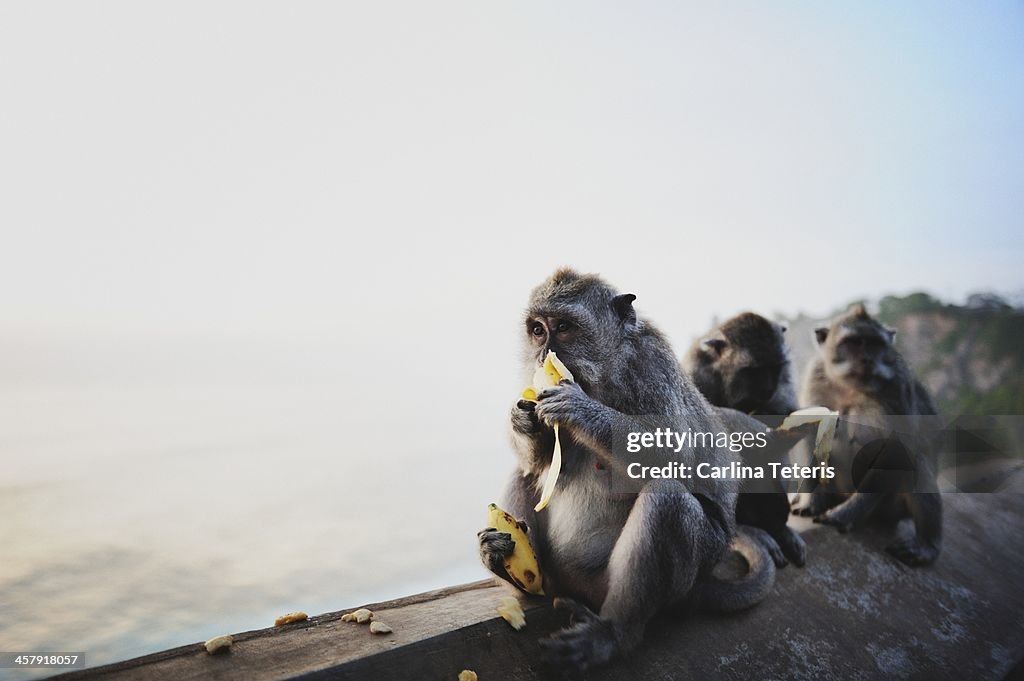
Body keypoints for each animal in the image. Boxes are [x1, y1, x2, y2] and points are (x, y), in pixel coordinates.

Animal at [475, 268, 770, 671]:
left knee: (667, 497)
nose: (543, 353)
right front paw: (522, 421)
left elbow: (674, 453)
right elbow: (538, 462)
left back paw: (612, 633)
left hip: (675, 572)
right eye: (537, 330)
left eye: (563, 328)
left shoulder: (650, 367)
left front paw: (580, 409)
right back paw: (506, 564)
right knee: (527, 475)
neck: (603, 376)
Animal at [679, 311, 806, 565]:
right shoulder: (696, 368)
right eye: (753, 372)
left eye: (774, 368)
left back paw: (778, 527)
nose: (768, 389)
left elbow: (786, 412)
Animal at [790, 301, 942, 561]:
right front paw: (811, 501)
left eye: (875, 344)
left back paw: (926, 544)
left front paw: (843, 515)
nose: (867, 360)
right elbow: (811, 435)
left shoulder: (898, 389)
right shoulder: (815, 377)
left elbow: (895, 448)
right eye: (854, 343)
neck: (851, 388)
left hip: (891, 506)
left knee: (918, 461)